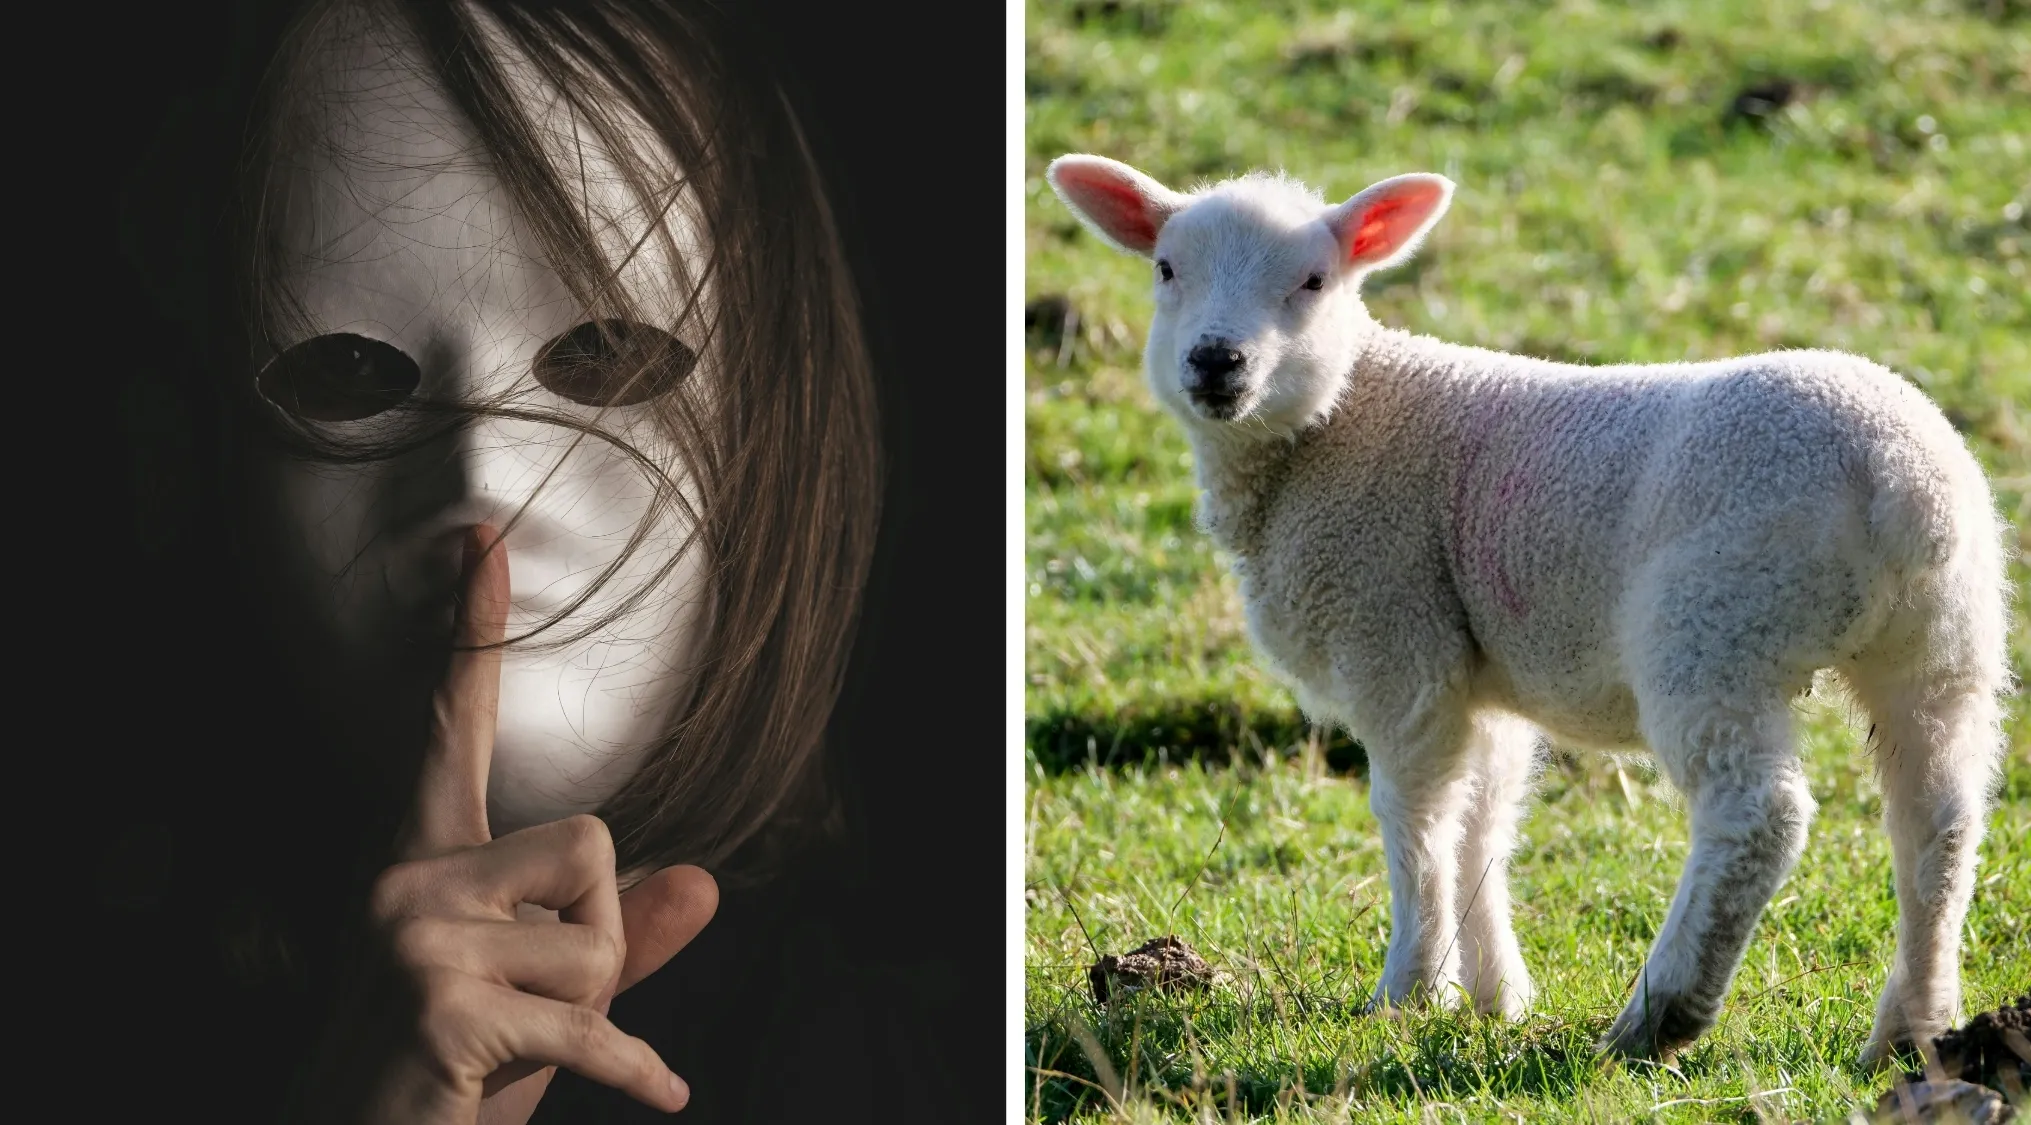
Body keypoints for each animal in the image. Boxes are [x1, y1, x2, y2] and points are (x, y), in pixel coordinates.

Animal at [1044, 153, 2015, 1066]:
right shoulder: (1477, 669)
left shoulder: (1393, 634)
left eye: (1314, 280)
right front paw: (1493, 993)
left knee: (1755, 816)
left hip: (1714, 627)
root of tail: (1898, 482)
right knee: (1939, 822)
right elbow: (1483, 820)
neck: (1336, 422)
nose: (1215, 360)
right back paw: (1913, 1028)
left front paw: (1407, 989)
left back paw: (1660, 1014)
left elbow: (1415, 818)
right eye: (1166, 268)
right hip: (1945, 643)